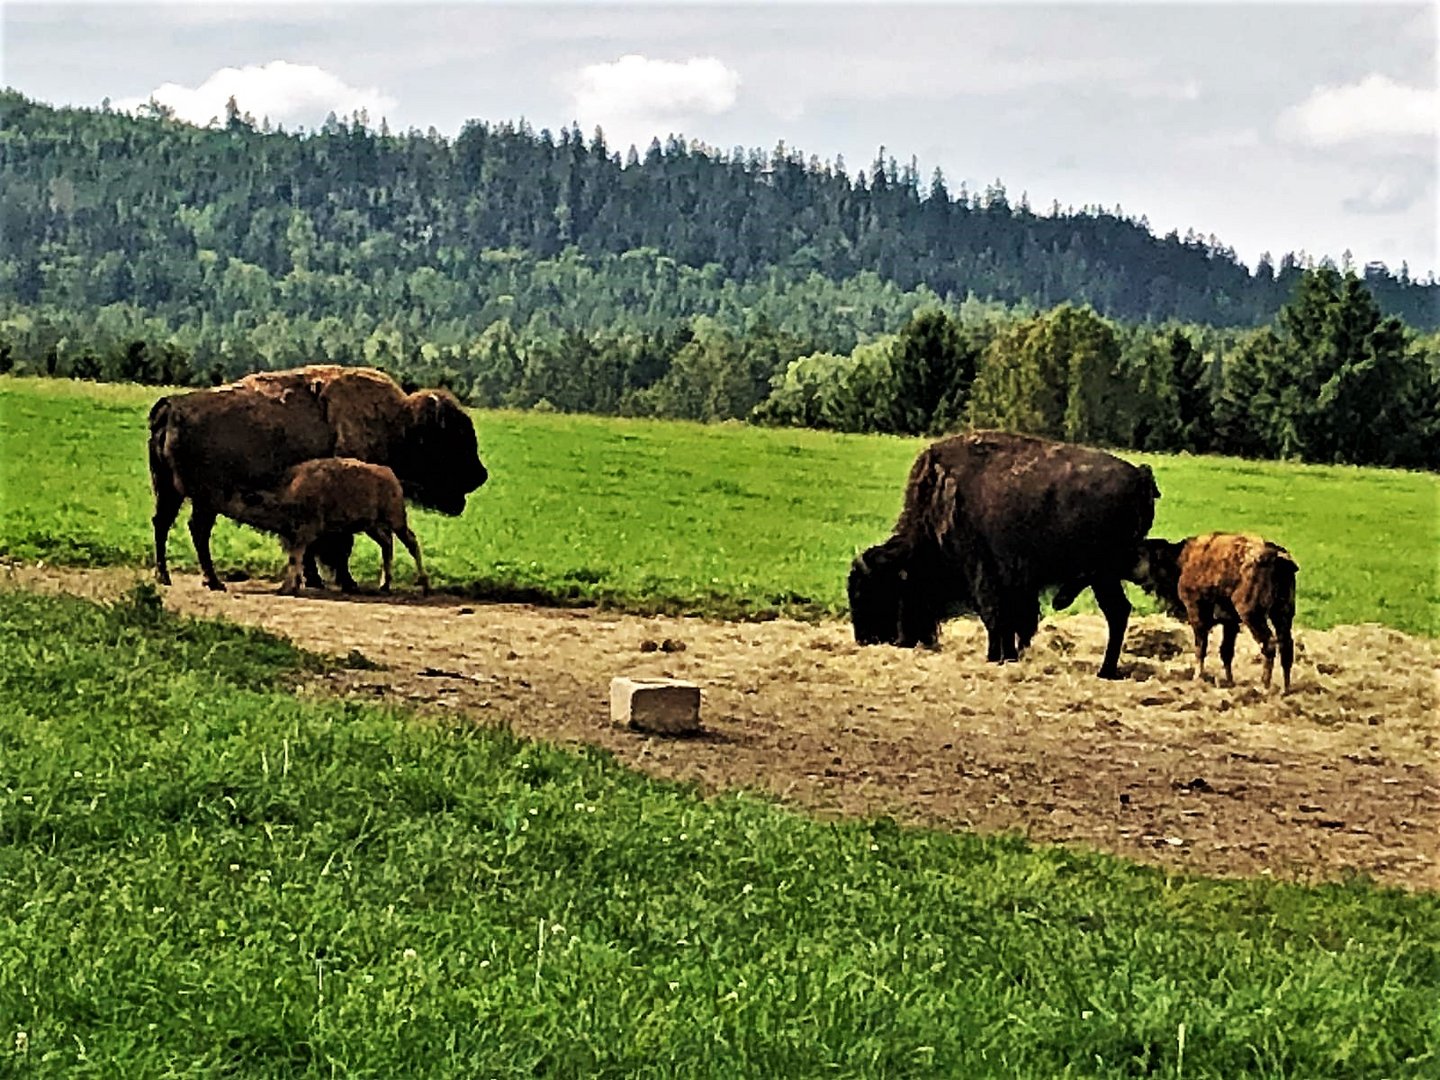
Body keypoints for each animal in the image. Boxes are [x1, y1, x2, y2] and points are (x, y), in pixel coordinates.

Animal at [216, 455, 423, 596]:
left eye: (243, 497)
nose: (221, 499)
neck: (288, 494)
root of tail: (390, 474)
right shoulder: (295, 536)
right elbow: (297, 558)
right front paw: (293, 585)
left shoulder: (304, 533)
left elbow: (296, 558)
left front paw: (286, 588)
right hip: (372, 526)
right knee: (387, 543)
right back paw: (384, 585)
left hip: (396, 520)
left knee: (411, 542)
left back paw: (425, 585)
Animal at [846, 429, 1163, 676]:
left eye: (868, 592)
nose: (864, 639)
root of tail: (1140, 476)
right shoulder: (1012, 583)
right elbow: (1012, 621)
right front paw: (1008, 656)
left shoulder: (983, 574)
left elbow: (995, 618)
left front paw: (996, 657)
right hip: (1105, 575)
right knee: (1118, 611)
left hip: (1103, 574)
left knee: (1116, 612)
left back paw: (1105, 670)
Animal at [1128, 532, 1301, 694]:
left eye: (1140, 553)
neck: (1181, 560)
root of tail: (1276, 555)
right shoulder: (1230, 622)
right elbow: (1226, 651)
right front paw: (1229, 682)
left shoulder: (1196, 612)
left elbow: (1201, 647)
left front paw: (1198, 677)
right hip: (1283, 614)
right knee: (1286, 645)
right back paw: (1286, 688)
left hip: (1252, 614)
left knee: (1269, 643)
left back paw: (1265, 686)